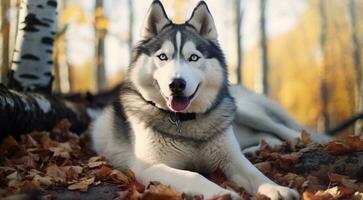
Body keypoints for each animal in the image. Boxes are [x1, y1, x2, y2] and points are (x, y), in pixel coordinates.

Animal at [91, 1, 304, 198]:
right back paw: (255, 149)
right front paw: (222, 194)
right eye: (162, 57)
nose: (177, 84)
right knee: (267, 136)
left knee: (282, 129)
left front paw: (277, 188)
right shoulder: (148, 167)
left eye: (193, 57)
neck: (184, 121)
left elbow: (255, 174)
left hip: (243, 110)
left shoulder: (231, 159)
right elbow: (193, 176)